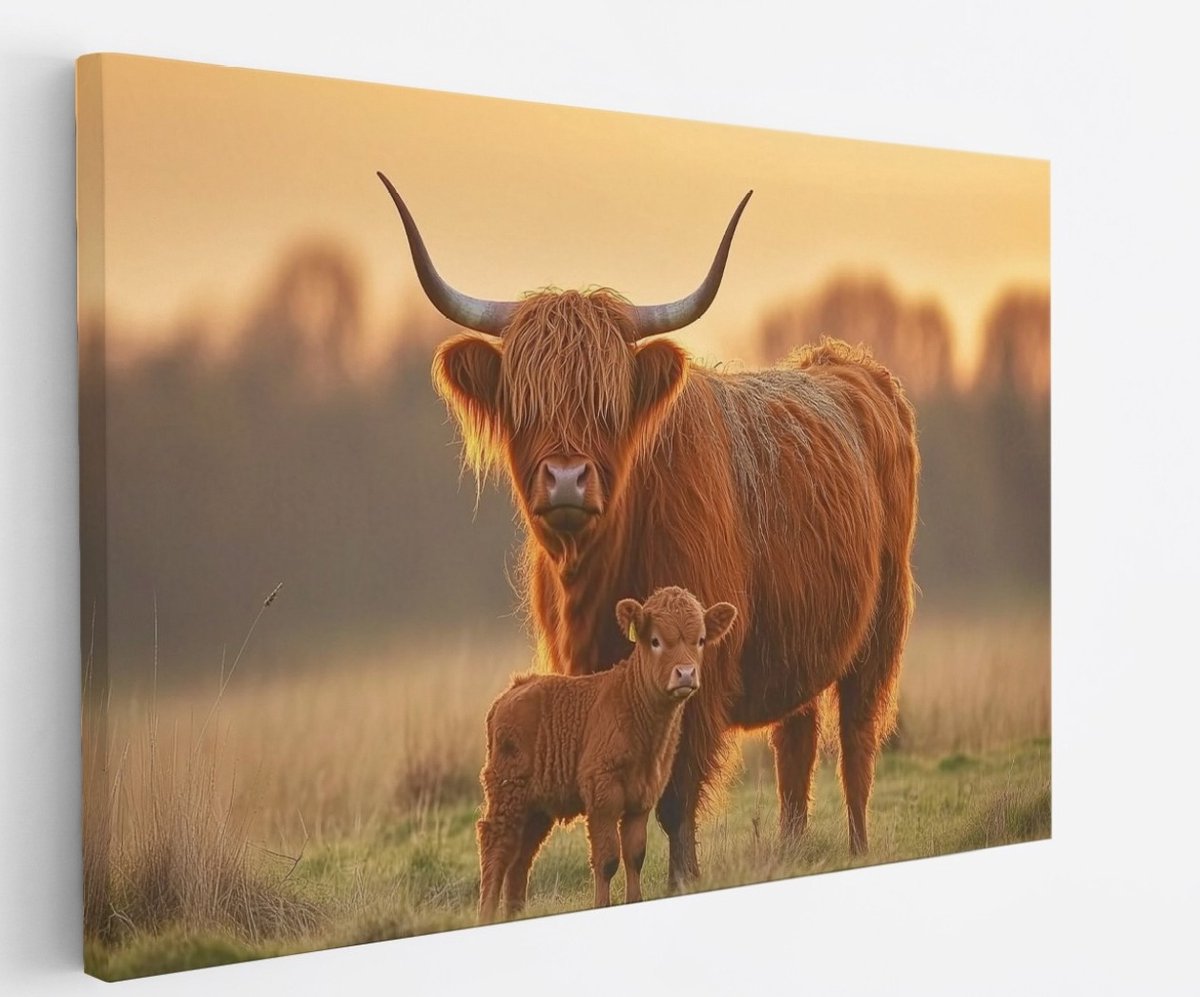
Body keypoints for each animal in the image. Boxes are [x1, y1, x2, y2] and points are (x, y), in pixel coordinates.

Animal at [378, 172, 920, 890]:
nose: (567, 479)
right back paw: (789, 848)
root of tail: (846, 364)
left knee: (855, 741)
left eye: (609, 403)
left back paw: (856, 846)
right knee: (796, 742)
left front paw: (682, 878)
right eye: (526, 402)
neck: (604, 568)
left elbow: (677, 794)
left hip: (881, 624)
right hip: (802, 636)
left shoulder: (700, 669)